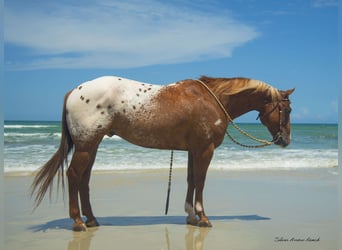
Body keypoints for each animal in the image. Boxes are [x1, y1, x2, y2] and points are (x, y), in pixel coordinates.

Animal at [30, 75, 296, 231]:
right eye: (287, 109)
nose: (285, 140)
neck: (213, 99)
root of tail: (75, 91)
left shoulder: (194, 150)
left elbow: (191, 180)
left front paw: (191, 216)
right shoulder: (205, 150)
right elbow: (201, 181)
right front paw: (203, 217)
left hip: (91, 146)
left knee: (84, 179)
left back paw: (92, 219)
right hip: (86, 145)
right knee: (74, 176)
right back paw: (77, 222)